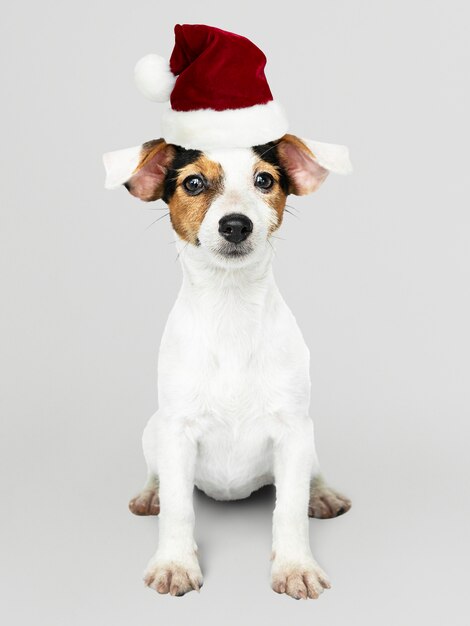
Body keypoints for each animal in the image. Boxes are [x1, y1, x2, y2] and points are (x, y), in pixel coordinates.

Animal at [103, 133, 352, 600]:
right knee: (158, 475)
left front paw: (296, 566)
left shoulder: (293, 431)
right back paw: (151, 493)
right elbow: (179, 509)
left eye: (264, 180)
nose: (236, 225)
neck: (231, 306)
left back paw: (321, 494)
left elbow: (289, 510)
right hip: (154, 429)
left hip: (308, 438)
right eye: (194, 183)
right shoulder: (177, 432)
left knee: (311, 474)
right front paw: (175, 563)